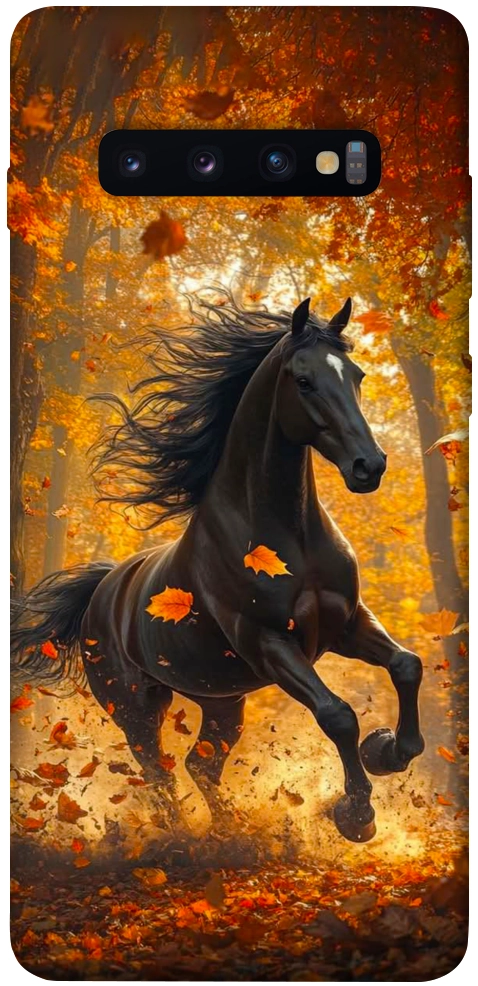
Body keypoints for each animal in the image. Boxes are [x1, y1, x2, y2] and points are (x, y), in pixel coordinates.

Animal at [11, 294, 425, 843]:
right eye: (304, 380)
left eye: (355, 375)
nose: (369, 466)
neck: (290, 538)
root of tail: (102, 591)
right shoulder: (268, 642)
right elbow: (337, 714)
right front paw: (357, 815)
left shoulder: (347, 624)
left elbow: (406, 665)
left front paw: (388, 750)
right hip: (136, 705)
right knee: (159, 772)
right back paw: (188, 840)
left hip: (223, 702)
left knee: (200, 766)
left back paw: (235, 832)